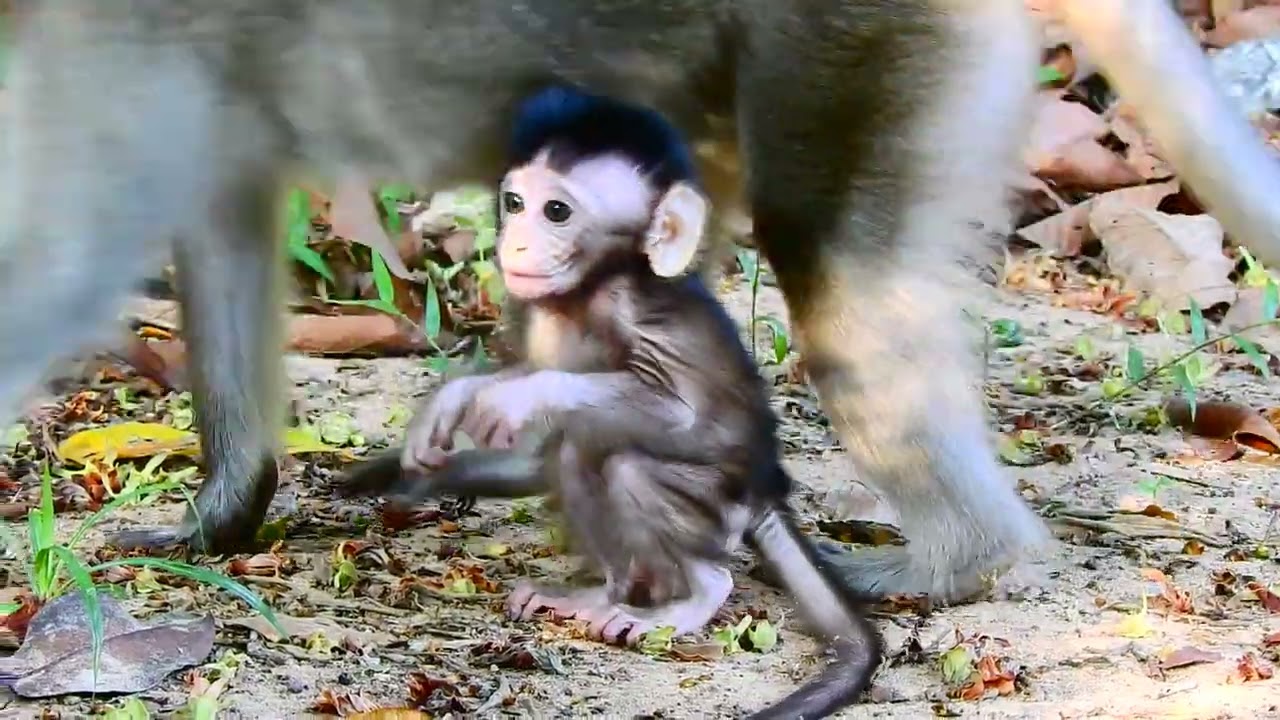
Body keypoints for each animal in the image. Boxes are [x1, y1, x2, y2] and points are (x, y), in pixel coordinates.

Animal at [340, 85, 883, 719]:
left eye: (557, 212)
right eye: (515, 202)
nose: (514, 242)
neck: (587, 290)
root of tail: (766, 493)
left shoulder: (636, 311)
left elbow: (683, 412)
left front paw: (519, 395)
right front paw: (457, 398)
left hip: (720, 510)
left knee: (619, 460)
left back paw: (695, 596)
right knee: (574, 453)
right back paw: (605, 593)